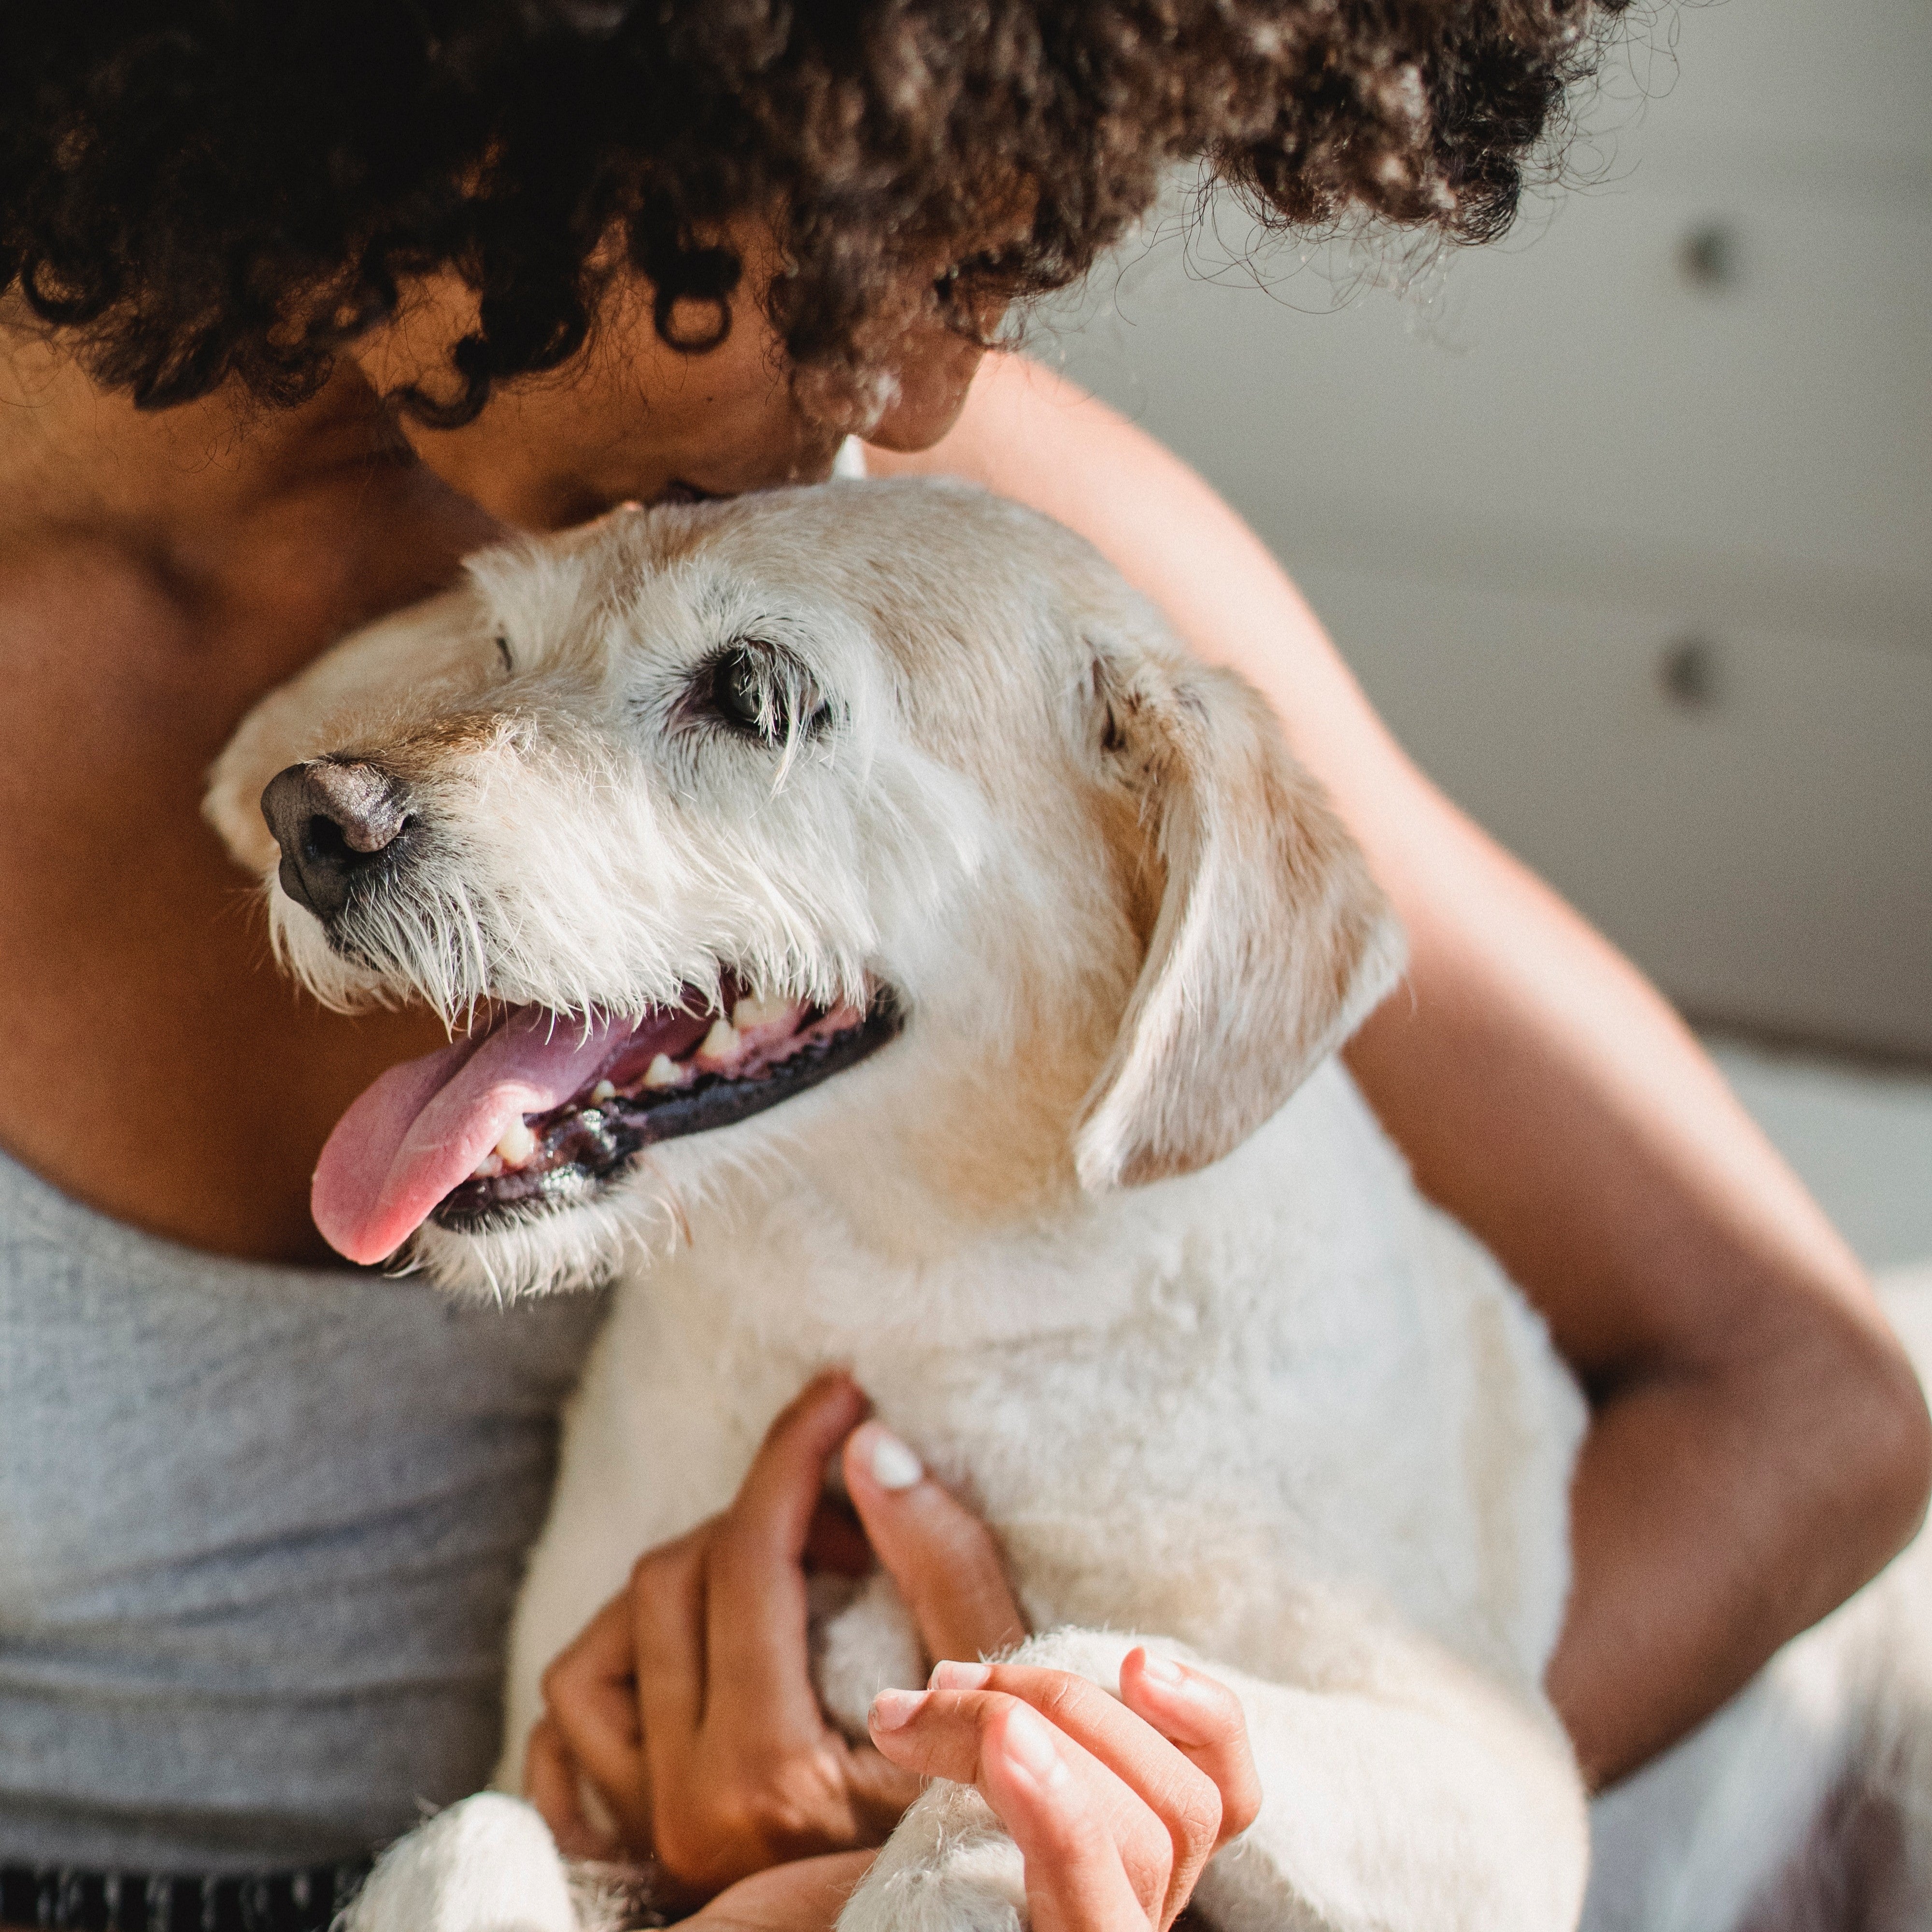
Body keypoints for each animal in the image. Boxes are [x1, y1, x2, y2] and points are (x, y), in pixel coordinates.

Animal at [212, 479, 1932, 1932]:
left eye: (754, 692)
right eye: (505, 646)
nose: (315, 817)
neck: (916, 1307)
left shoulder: (1486, 1788)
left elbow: (1050, 1687)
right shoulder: (558, 1772)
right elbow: (466, 1833)